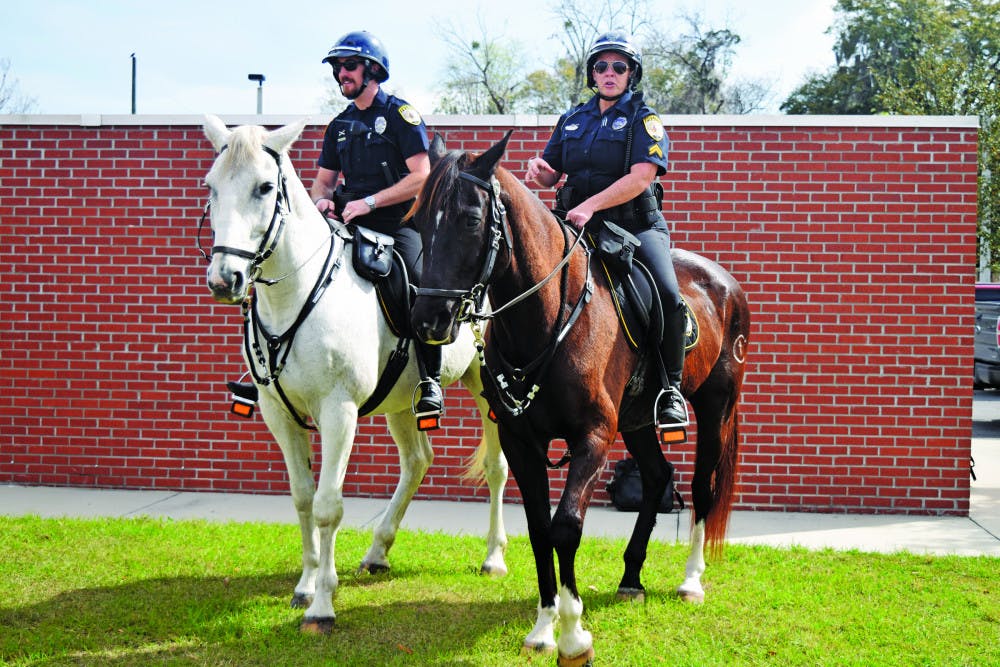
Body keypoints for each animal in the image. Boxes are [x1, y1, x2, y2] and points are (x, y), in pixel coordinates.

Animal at [199, 115, 509, 633]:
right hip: (402, 402)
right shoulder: (278, 415)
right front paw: (305, 584)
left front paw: (323, 604)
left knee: (496, 467)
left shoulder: (338, 412)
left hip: (487, 388)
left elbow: (328, 506)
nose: (226, 280)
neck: (298, 293)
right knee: (417, 461)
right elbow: (303, 498)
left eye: (265, 187)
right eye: (211, 186)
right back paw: (378, 550)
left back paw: (494, 557)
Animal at [410, 132, 750, 664]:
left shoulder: (592, 437)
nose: (427, 320)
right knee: (658, 477)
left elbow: (565, 527)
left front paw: (573, 635)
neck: (548, 315)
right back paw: (631, 577)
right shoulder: (521, 442)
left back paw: (691, 581)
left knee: (701, 489)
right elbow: (537, 528)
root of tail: (726, 284)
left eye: (470, 219)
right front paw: (543, 627)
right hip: (636, 422)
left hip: (717, 407)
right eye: (422, 220)